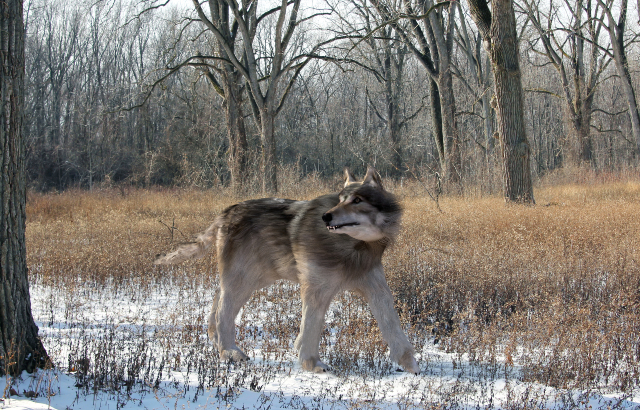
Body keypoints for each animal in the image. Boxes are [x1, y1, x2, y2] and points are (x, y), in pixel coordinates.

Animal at [154, 167, 419, 374]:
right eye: (340, 199)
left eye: (357, 200)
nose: (326, 216)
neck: (353, 246)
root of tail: (225, 213)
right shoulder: (316, 290)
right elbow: (311, 328)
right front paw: (312, 364)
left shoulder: (377, 290)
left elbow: (393, 326)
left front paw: (410, 365)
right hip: (243, 282)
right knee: (223, 313)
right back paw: (230, 352)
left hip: (251, 280)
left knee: (216, 302)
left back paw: (217, 343)